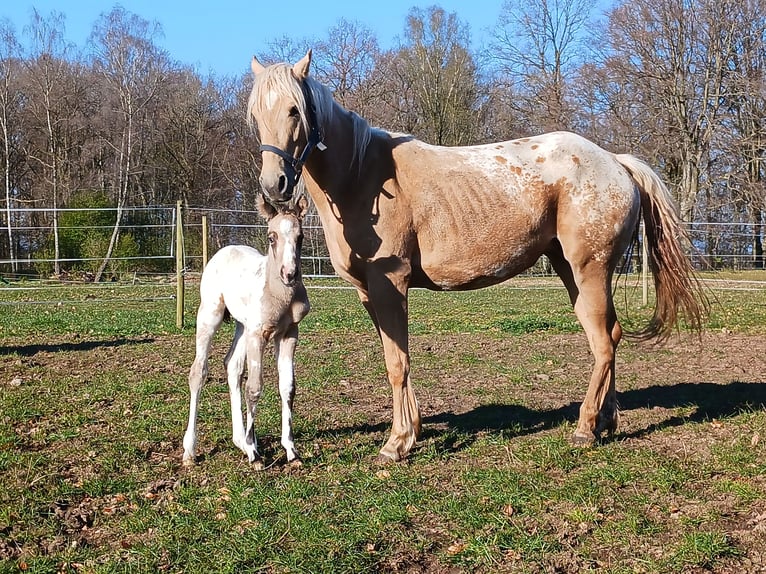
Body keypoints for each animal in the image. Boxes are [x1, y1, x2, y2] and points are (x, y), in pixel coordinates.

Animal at [183, 196, 312, 470]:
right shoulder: (258, 335)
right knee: (199, 372)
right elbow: (254, 388)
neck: (279, 295)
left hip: (242, 327)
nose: (289, 274)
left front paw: (291, 451)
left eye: (301, 236)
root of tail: (225, 250)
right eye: (271, 237)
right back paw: (190, 450)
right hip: (210, 314)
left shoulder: (289, 333)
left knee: (231, 365)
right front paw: (255, 455)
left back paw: (240, 441)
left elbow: (288, 387)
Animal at [249, 49, 712, 464]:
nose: (275, 184)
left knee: (602, 343)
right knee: (610, 337)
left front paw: (397, 444)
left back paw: (584, 429)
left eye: (294, 110)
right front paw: (410, 432)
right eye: (255, 115)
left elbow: (398, 362)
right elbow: (393, 358)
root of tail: (615, 161)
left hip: (590, 271)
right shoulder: (369, 292)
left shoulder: (390, 286)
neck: (363, 174)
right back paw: (606, 421)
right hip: (573, 274)